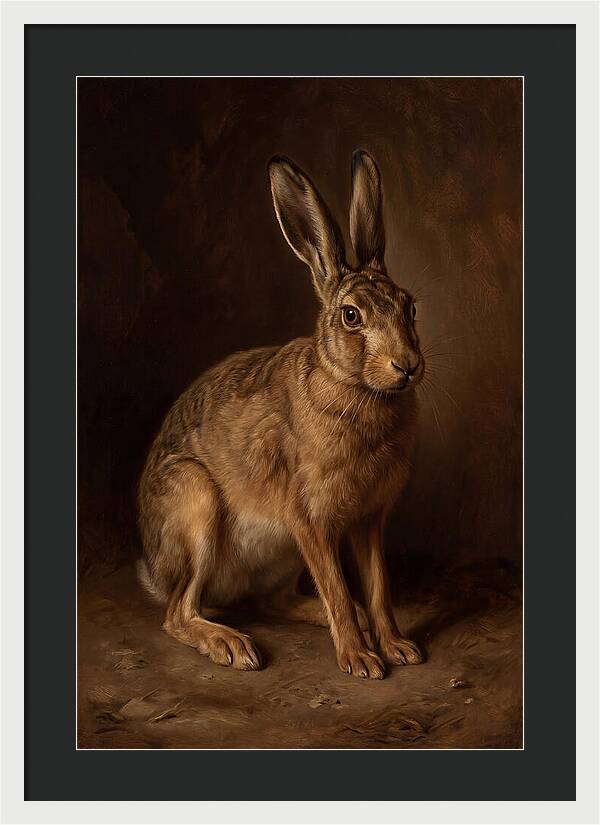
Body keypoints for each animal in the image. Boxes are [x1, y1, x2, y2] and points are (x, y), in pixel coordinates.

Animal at [137, 149, 425, 679]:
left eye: (409, 307)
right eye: (351, 316)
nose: (407, 365)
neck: (355, 387)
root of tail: (155, 568)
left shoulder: (368, 520)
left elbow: (378, 589)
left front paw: (396, 647)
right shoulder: (308, 519)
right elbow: (337, 586)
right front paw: (361, 660)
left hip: (281, 556)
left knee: (273, 602)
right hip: (195, 503)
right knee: (178, 612)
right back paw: (231, 645)